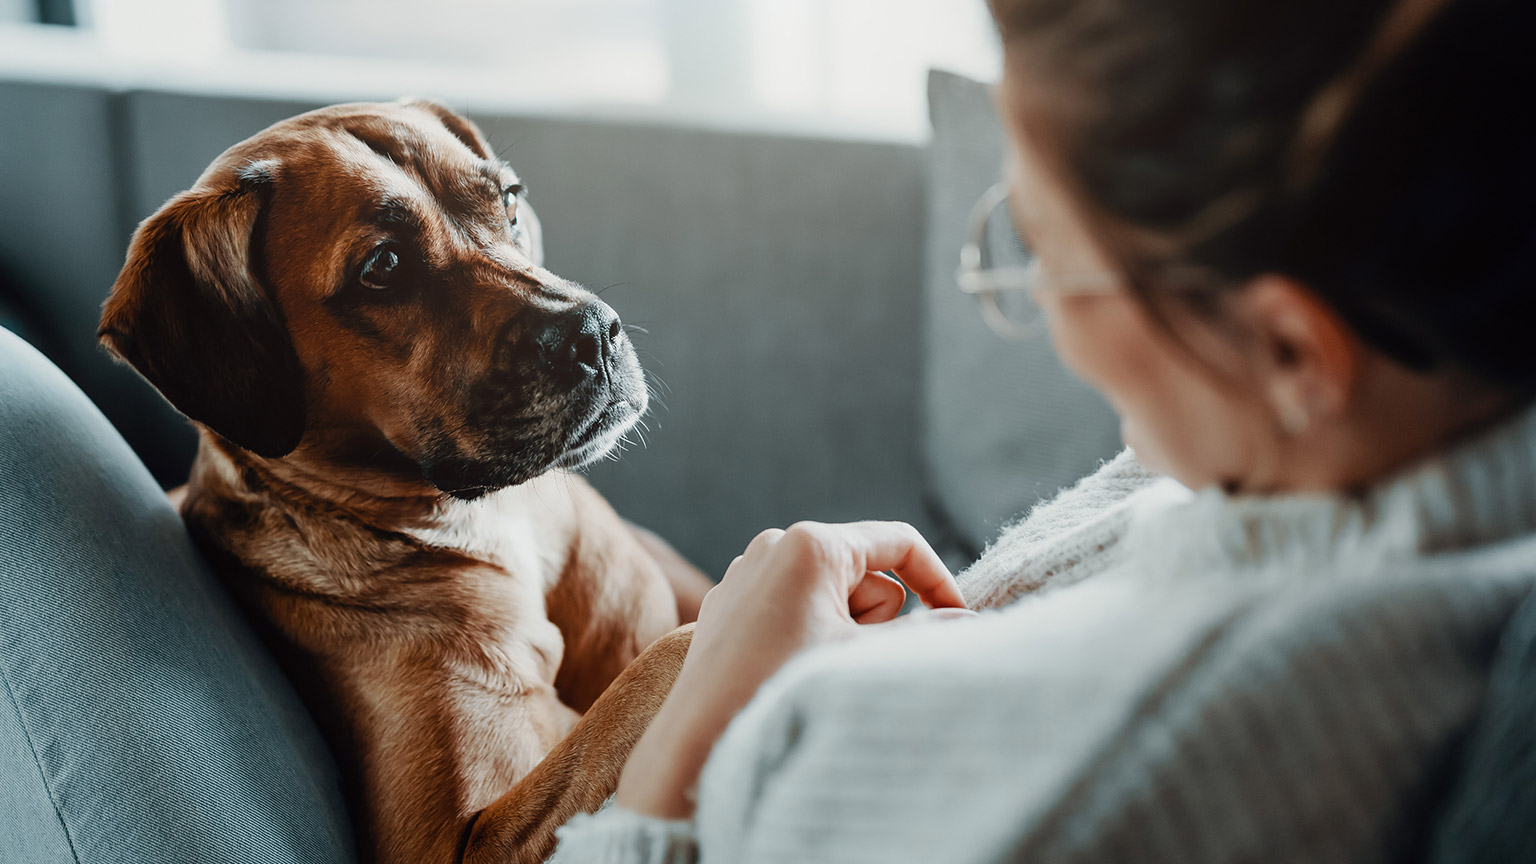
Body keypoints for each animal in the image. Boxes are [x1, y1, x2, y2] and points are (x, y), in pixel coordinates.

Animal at [100, 100, 706, 860]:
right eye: (383, 267)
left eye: (509, 201)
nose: (594, 331)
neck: (488, 523)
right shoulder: (454, 841)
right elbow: (666, 658)